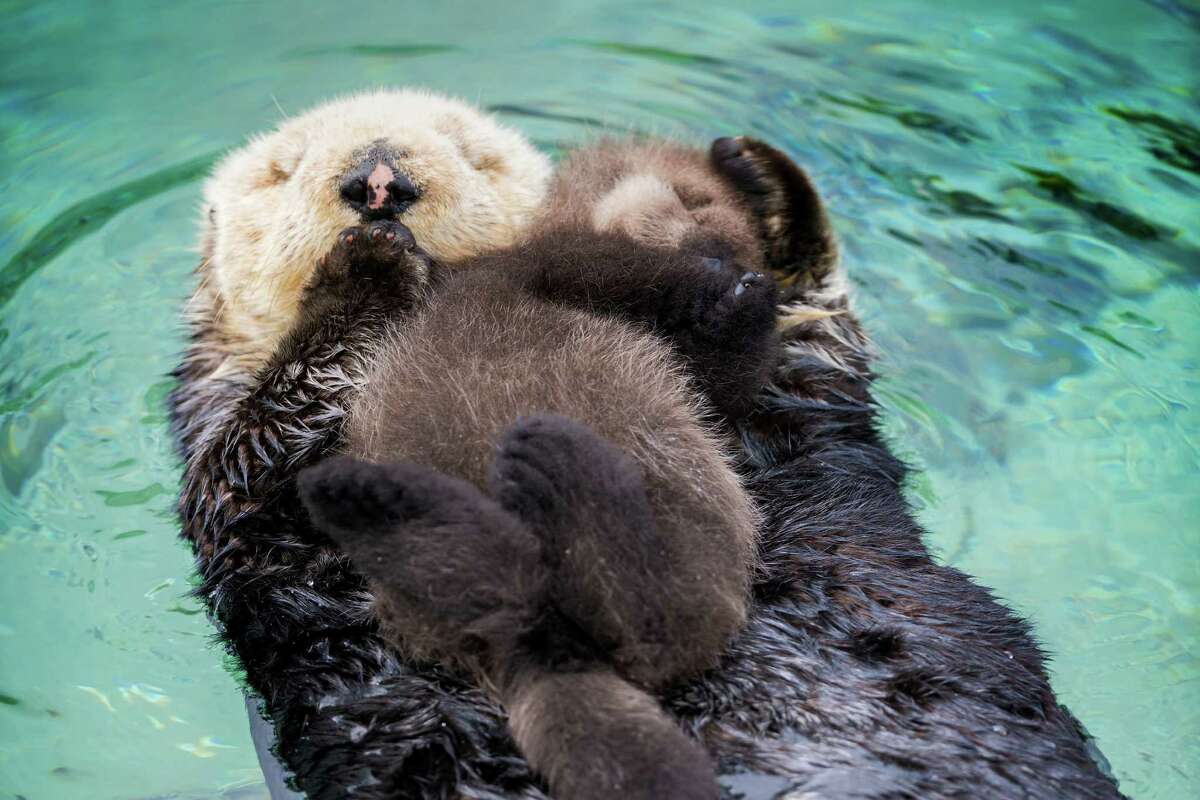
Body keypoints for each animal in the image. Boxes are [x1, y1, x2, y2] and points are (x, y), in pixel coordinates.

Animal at [169, 90, 1123, 796]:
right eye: (279, 170)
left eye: (472, 153)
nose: (377, 183)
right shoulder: (224, 458)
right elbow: (255, 456)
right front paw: (361, 273)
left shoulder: (790, 389)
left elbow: (807, 319)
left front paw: (762, 179)